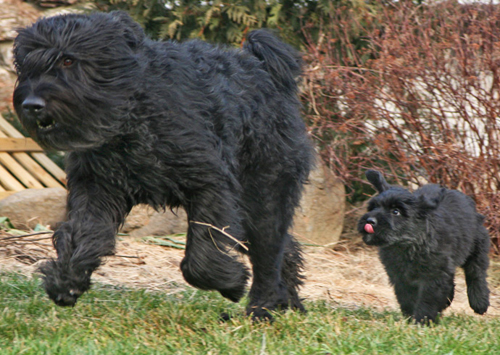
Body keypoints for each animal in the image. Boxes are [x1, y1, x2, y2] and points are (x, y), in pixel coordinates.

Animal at [12, 11, 312, 320]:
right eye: (26, 65)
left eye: (69, 60)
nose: (31, 104)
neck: (133, 112)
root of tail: (268, 72)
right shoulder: (96, 187)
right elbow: (83, 234)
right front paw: (67, 280)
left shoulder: (210, 184)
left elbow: (202, 255)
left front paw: (231, 283)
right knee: (284, 249)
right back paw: (287, 302)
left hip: (265, 194)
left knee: (268, 254)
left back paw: (261, 309)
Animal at [358, 170, 490, 326]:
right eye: (373, 207)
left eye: (396, 211)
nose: (369, 221)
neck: (407, 244)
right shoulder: (400, 276)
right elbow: (407, 298)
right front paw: (411, 317)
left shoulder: (434, 276)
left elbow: (427, 300)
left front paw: (422, 320)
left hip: (477, 246)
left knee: (476, 273)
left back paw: (479, 302)